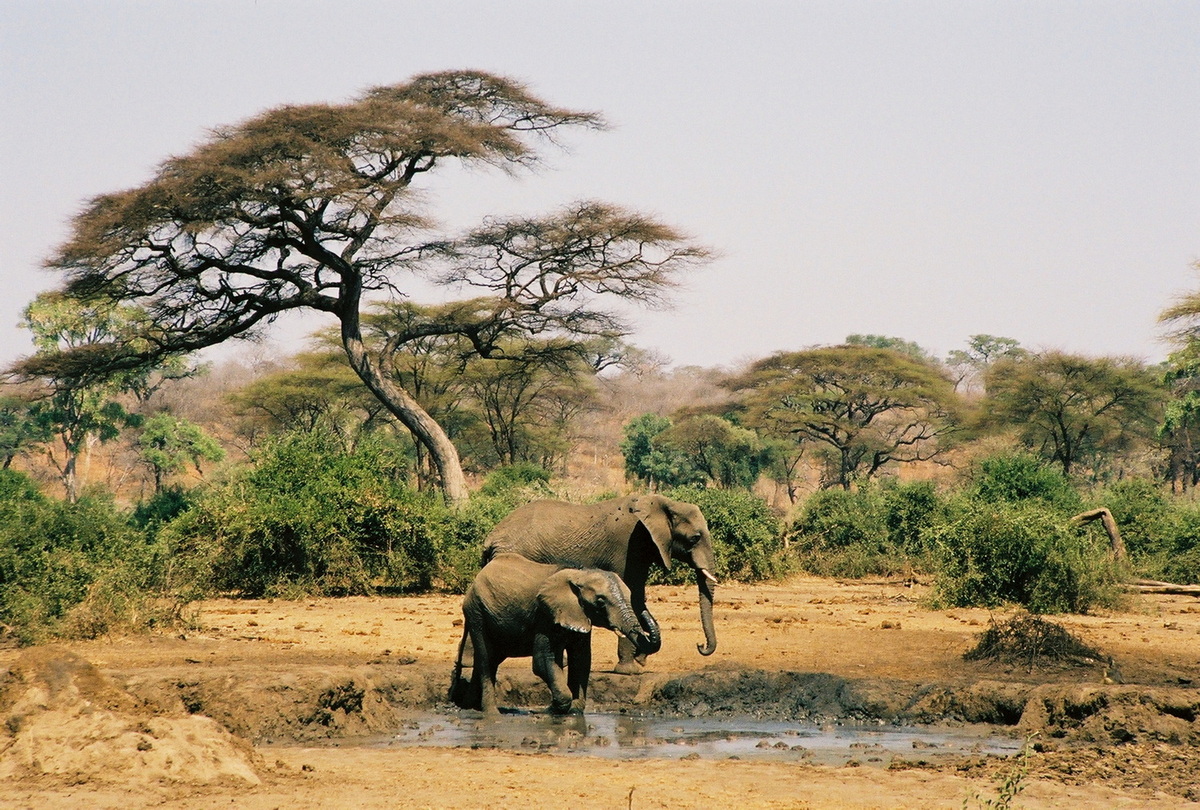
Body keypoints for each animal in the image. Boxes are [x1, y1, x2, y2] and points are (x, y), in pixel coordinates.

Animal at [449, 553, 660, 715]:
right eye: (600, 601)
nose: (643, 613)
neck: (580, 574)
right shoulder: (545, 615)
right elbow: (543, 661)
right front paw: (551, 710)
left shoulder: (579, 614)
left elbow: (581, 660)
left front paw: (573, 710)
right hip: (476, 612)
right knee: (486, 659)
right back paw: (491, 714)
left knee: (490, 660)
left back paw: (469, 706)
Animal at [481, 493, 717, 674]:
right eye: (695, 538)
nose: (700, 645)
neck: (660, 502)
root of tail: (490, 538)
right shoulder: (628, 545)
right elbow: (633, 594)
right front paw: (629, 671)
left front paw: (640, 660)